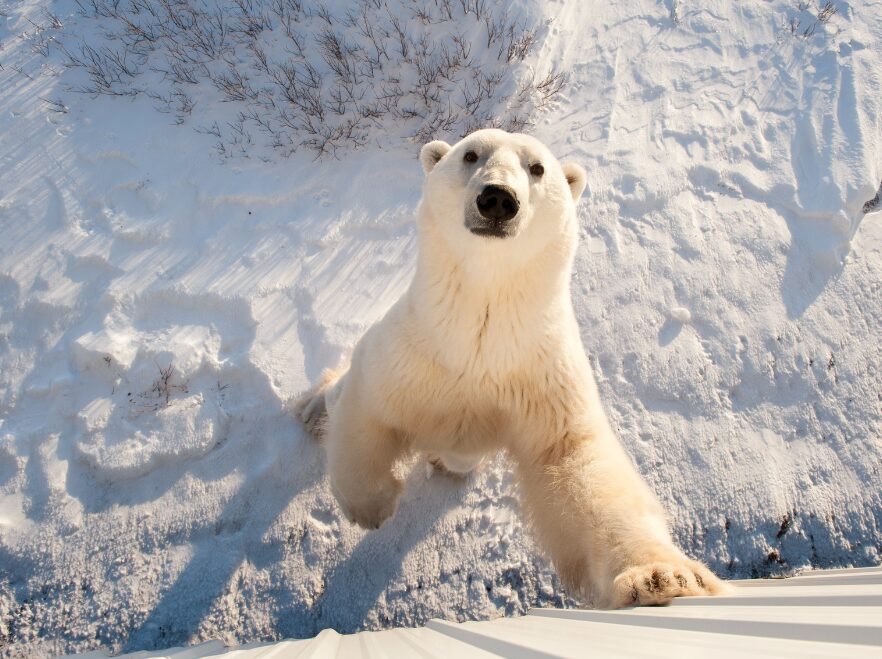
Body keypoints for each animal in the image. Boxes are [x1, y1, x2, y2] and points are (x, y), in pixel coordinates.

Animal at [297, 128, 727, 608]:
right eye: (470, 154)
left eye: (537, 167)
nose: (498, 198)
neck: (480, 331)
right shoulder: (413, 352)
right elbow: (367, 409)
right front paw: (372, 507)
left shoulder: (540, 372)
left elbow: (575, 459)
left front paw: (661, 577)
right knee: (339, 393)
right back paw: (314, 411)